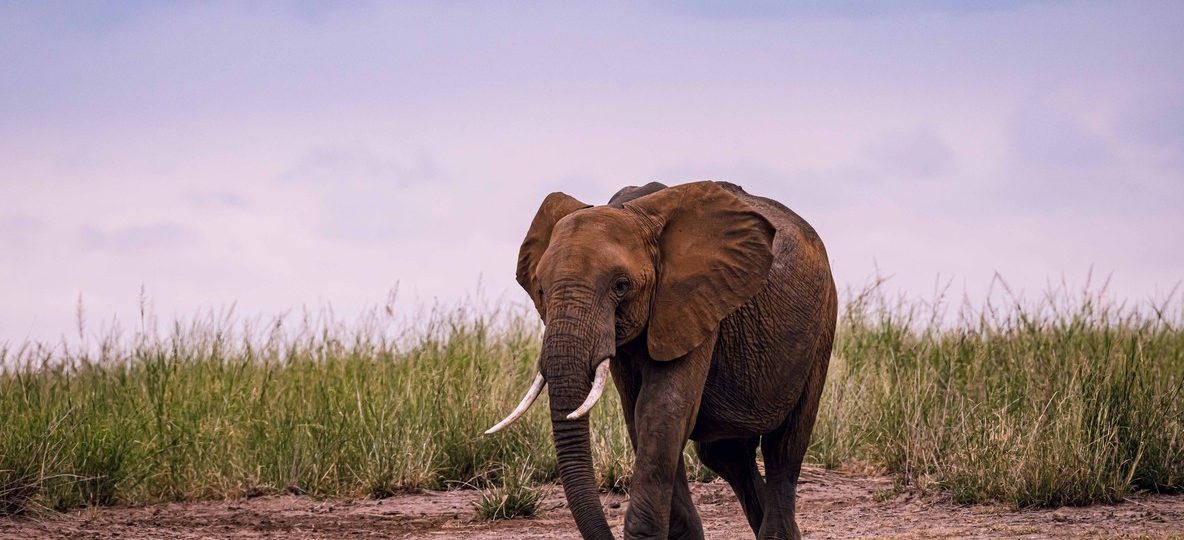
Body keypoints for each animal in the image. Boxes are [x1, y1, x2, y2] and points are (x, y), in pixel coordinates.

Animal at [486, 180, 836, 540]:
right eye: (541, 289)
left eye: (621, 286)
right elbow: (640, 418)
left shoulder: (693, 300)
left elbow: (662, 411)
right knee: (728, 456)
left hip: (823, 322)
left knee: (783, 448)